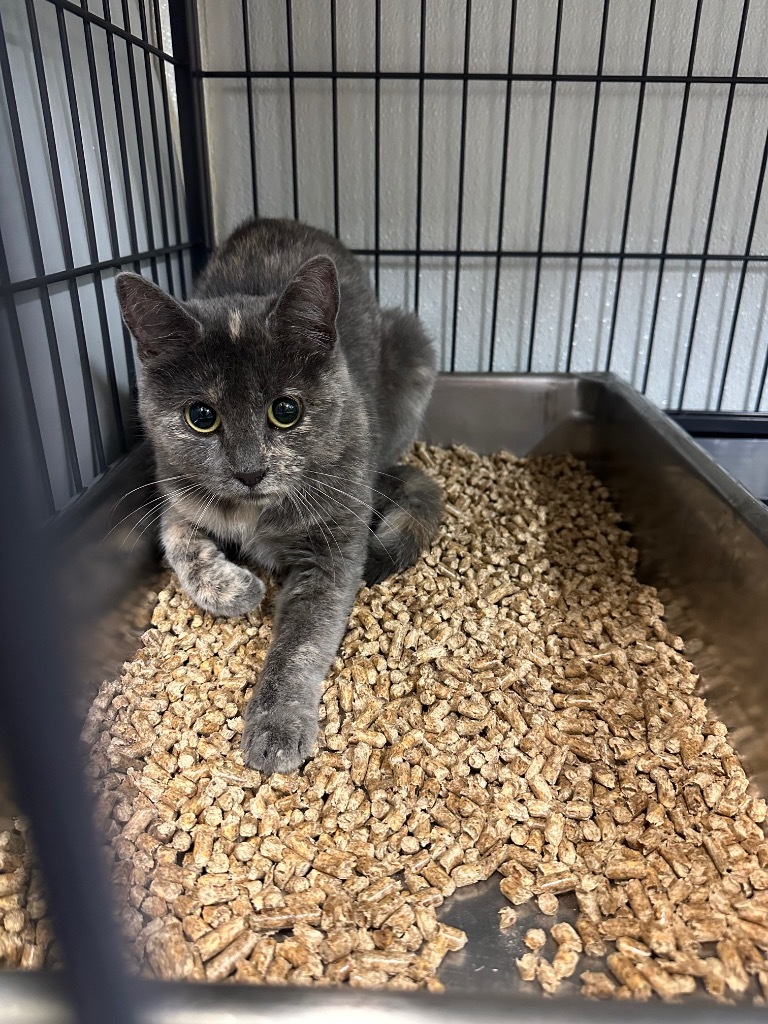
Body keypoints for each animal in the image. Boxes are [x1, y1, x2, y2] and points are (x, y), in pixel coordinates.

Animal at [112, 220, 438, 770]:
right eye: (201, 416)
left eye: (285, 411)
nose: (249, 471)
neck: (253, 513)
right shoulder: (174, 490)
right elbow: (178, 541)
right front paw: (237, 589)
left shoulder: (332, 545)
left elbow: (301, 642)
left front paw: (277, 726)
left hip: (411, 348)